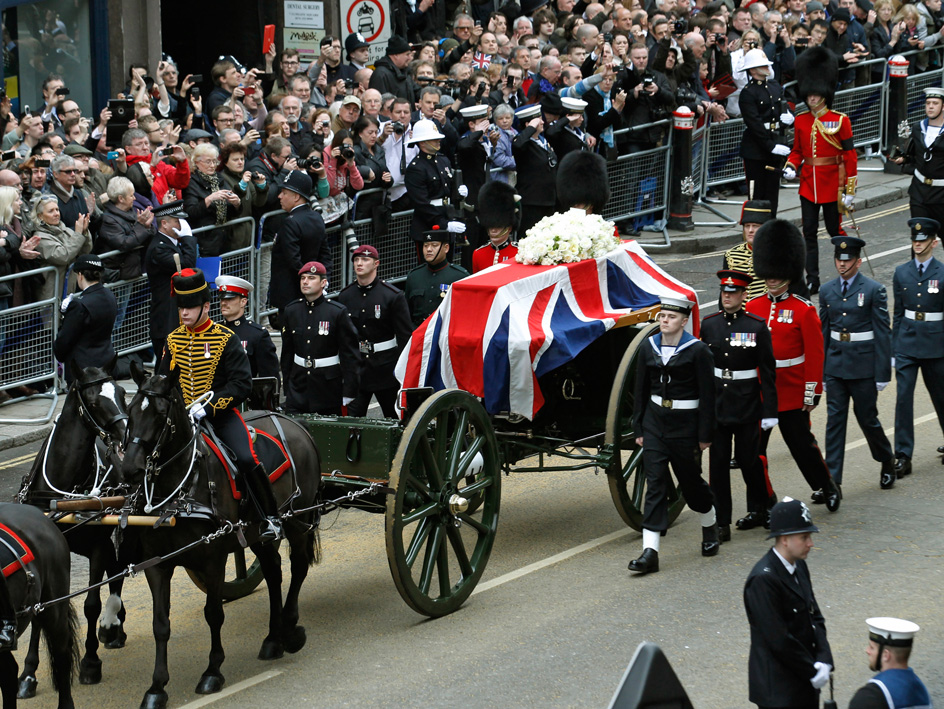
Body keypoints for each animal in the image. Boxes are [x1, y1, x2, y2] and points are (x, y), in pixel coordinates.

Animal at [16, 362, 129, 696]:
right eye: (92, 401)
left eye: (122, 392)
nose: (126, 432)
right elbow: (41, 611)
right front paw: (29, 673)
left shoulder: (99, 546)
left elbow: (91, 603)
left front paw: (90, 663)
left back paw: (111, 625)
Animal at [121, 366, 322, 708]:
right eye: (131, 410)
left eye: (160, 414)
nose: (130, 468)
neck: (182, 488)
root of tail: (294, 422)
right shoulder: (157, 564)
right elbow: (160, 624)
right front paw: (156, 687)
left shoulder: (212, 558)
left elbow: (213, 613)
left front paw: (212, 671)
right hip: (257, 533)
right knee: (273, 571)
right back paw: (273, 638)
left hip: (297, 520)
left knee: (297, 567)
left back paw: (290, 627)